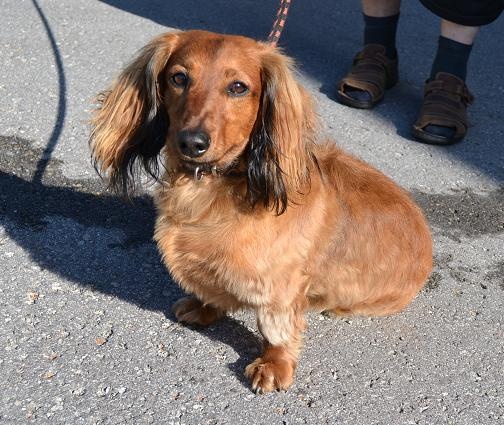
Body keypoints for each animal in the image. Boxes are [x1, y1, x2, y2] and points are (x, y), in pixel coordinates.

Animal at [90, 30, 432, 393]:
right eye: (179, 78)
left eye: (238, 87)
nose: (192, 143)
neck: (211, 184)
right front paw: (203, 308)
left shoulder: (279, 288)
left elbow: (276, 328)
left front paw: (274, 363)